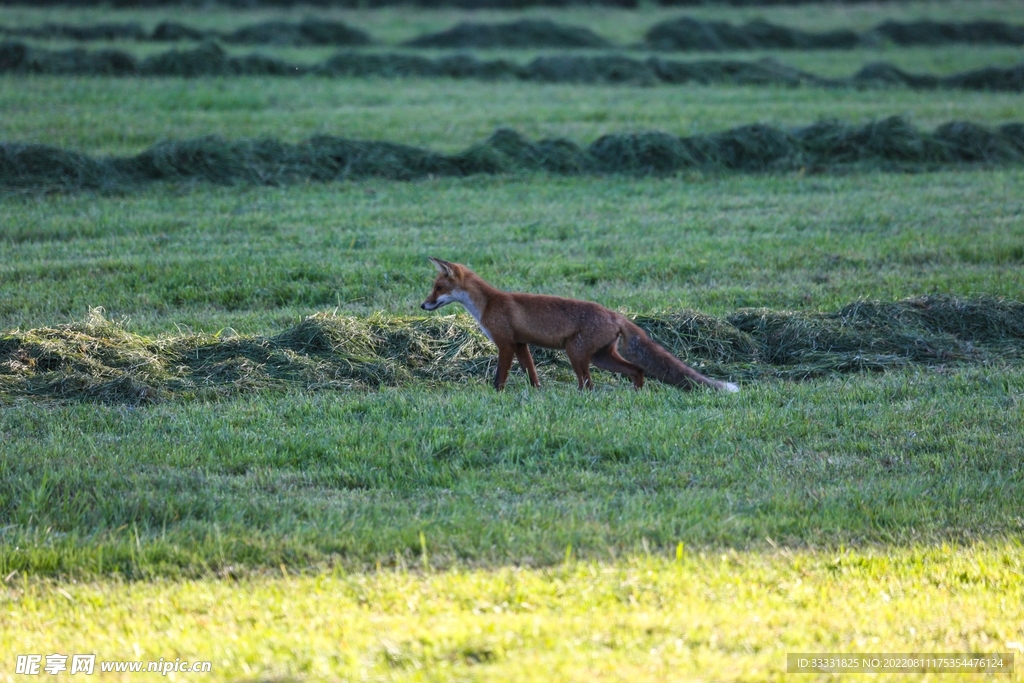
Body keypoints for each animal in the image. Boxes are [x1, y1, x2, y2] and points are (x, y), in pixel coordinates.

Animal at [419, 255, 741, 393]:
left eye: (438, 289)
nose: (423, 305)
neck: (487, 304)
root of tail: (614, 313)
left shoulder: (505, 344)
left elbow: (500, 376)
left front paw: (496, 394)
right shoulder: (521, 344)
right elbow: (532, 374)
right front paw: (537, 393)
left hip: (576, 354)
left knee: (588, 384)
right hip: (601, 357)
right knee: (636, 370)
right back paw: (636, 394)